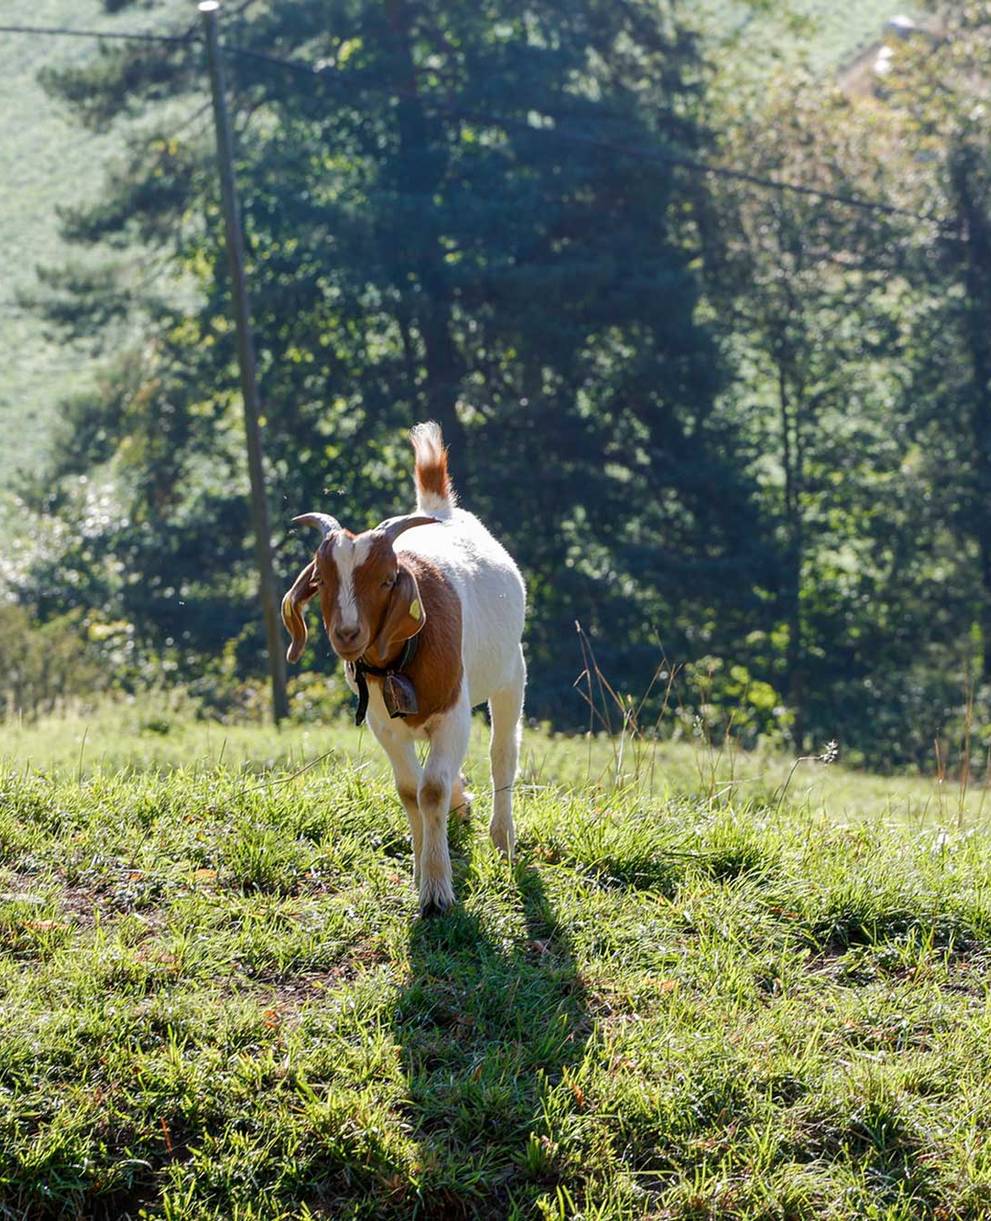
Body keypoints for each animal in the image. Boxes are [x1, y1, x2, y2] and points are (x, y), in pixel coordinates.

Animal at [280, 424, 527, 913]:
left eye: (387, 579)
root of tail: (438, 507)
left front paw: (436, 892)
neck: (400, 659)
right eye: (321, 580)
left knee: (502, 754)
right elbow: (411, 790)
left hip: (512, 675)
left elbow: (431, 788)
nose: (348, 633)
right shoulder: (384, 724)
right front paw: (421, 871)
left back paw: (502, 838)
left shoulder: (452, 714)